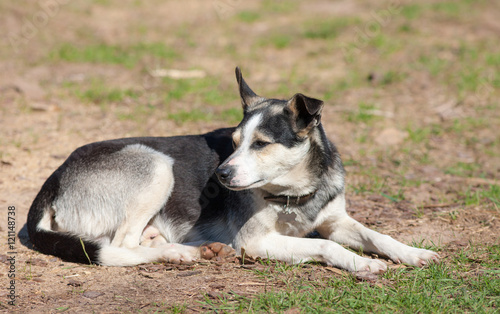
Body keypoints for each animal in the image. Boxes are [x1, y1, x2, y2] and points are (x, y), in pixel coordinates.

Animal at [27, 67, 438, 274]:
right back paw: (179, 254)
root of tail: (53, 181)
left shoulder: (336, 220)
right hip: (157, 166)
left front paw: (414, 253)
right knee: (118, 246)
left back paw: (192, 248)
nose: (221, 176)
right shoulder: (256, 242)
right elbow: (323, 245)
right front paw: (362, 264)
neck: (292, 193)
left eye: (260, 143)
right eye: (235, 140)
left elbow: (377, 235)